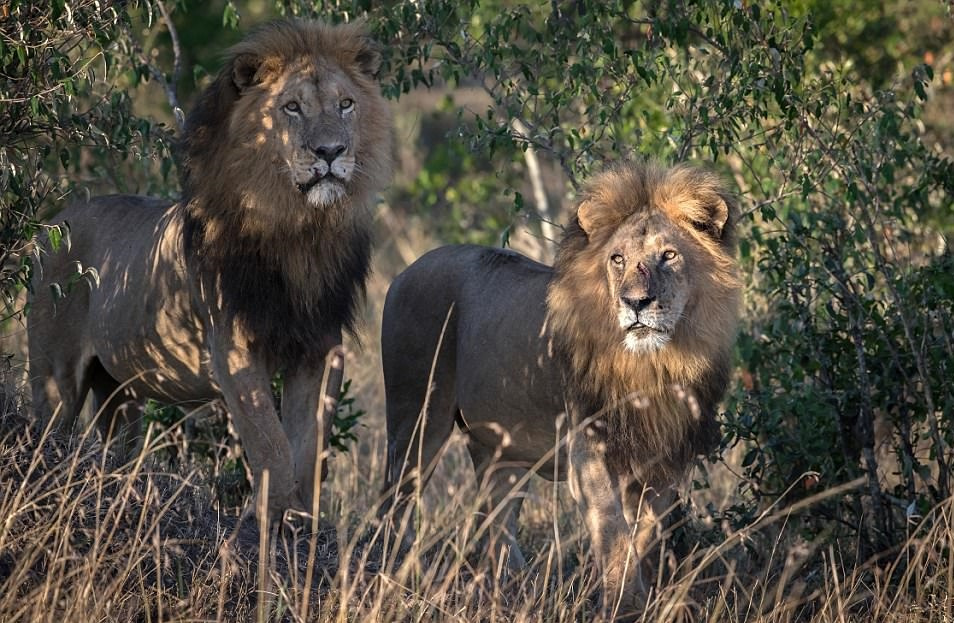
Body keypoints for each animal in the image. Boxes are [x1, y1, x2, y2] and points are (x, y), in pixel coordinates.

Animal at [26, 19, 392, 520]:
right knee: (47, 433)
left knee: (117, 444)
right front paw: (273, 520)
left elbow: (307, 447)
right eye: (292, 107)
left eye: (346, 104)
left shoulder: (320, 346)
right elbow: (271, 444)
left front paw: (299, 522)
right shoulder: (232, 347)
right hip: (54, 379)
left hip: (119, 391)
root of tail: (52, 225)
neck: (298, 231)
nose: (331, 151)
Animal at [384, 162, 740, 620]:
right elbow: (613, 529)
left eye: (669, 255)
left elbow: (643, 531)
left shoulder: (663, 454)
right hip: (416, 419)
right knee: (394, 503)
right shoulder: (588, 446)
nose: (636, 302)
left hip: (501, 449)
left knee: (497, 519)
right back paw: (397, 573)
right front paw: (622, 605)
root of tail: (404, 271)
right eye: (618, 259)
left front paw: (632, 598)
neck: (652, 365)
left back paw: (514, 588)